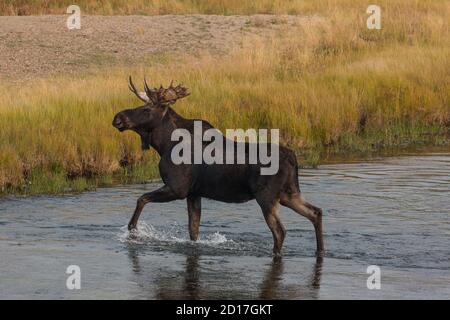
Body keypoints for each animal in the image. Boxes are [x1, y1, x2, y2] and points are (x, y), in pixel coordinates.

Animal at [112, 77, 324, 255]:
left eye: (146, 108)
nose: (118, 118)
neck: (163, 144)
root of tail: (292, 158)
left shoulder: (177, 188)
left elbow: (141, 199)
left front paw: (133, 230)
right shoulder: (193, 193)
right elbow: (193, 231)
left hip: (267, 197)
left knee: (280, 231)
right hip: (289, 194)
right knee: (316, 212)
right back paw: (320, 251)